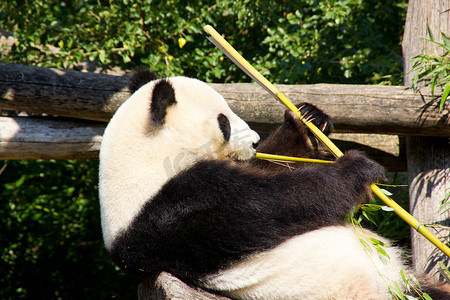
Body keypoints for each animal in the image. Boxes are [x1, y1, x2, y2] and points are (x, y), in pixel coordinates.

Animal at [99, 69, 408, 298]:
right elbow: (279, 202)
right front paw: (358, 168)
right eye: (223, 122)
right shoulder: (181, 207)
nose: (255, 142)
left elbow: (269, 167)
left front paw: (308, 123)